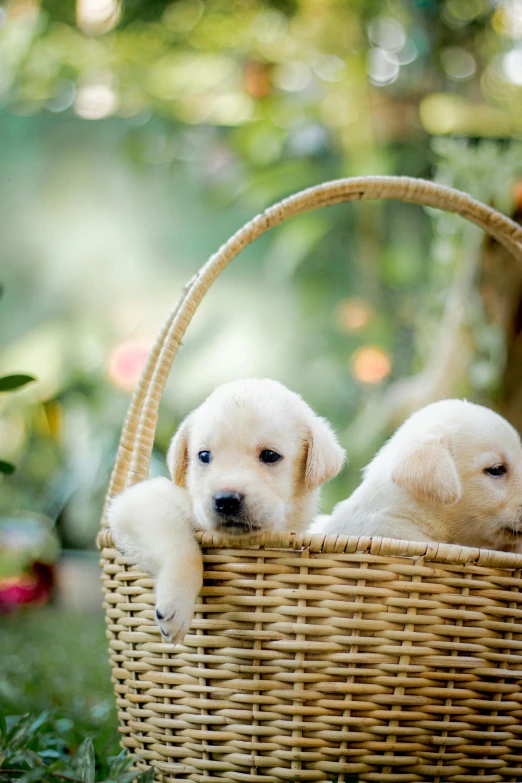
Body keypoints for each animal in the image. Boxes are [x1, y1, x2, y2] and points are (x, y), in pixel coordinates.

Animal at [107, 378, 344, 644]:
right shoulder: (141, 501)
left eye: (270, 455)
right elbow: (182, 548)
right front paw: (176, 604)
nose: (226, 500)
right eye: (204, 455)